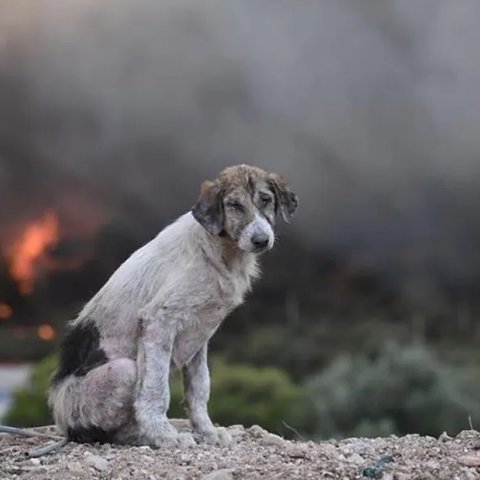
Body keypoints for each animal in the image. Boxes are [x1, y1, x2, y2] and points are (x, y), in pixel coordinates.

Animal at [47, 165, 296, 446]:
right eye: (234, 205)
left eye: (266, 200)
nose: (261, 240)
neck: (220, 251)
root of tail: (63, 423)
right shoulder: (159, 320)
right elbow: (155, 390)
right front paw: (164, 435)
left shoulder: (200, 333)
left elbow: (200, 388)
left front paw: (207, 432)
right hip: (123, 370)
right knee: (109, 431)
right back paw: (143, 436)